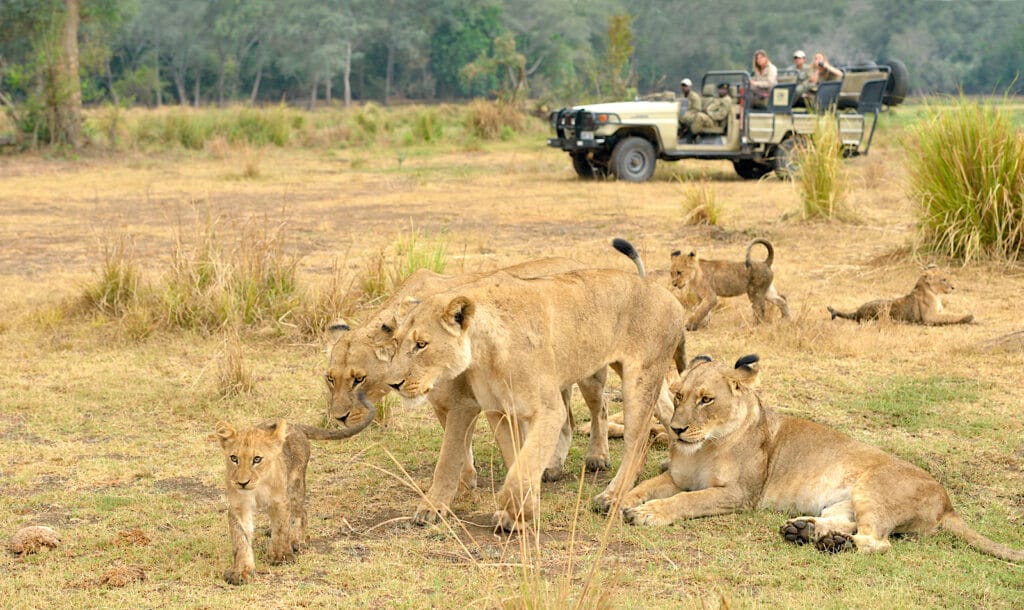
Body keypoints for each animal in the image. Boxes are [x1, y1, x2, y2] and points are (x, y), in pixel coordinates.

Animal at [211, 397, 376, 585]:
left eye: (257, 459)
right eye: (234, 458)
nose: (242, 482)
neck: (258, 487)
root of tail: (294, 425)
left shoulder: (280, 501)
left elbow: (281, 528)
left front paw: (279, 556)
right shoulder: (239, 506)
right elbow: (241, 539)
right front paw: (241, 571)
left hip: (295, 485)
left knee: (301, 513)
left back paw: (296, 541)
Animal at [327, 256, 610, 524]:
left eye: (359, 379)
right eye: (330, 379)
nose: (339, 418)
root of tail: (578, 263)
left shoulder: (464, 402)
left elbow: (448, 457)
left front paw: (432, 507)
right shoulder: (443, 404)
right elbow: (460, 449)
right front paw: (466, 483)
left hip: (590, 374)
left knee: (599, 408)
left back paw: (597, 457)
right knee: (567, 419)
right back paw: (552, 467)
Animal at [387, 240, 684, 532]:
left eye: (421, 344)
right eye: (396, 342)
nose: (394, 383)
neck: (483, 353)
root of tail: (664, 292)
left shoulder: (548, 410)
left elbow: (521, 469)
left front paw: (521, 511)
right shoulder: (499, 411)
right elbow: (516, 461)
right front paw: (518, 514)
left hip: (638, 379)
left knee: (637, 440)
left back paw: (611, 497)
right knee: (669, 411)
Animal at [622, 352, 1024, 560]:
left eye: (706, 399)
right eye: (678, 396)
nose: (676, 429)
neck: (704, 446)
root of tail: (947, 501)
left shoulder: (739, 495)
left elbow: (687, 501)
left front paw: (647, 514)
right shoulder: (676, 477)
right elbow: (644, 486)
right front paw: (619, 502)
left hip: (873, 489)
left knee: (877, 540)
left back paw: (831, 543)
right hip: (843, 502)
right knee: (845, 522)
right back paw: (803, 530)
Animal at [823, 266, 974, 323]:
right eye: (944, 279)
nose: (954, 287)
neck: (935, 294)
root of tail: (857, 312)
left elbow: (951, 313)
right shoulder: (930, 317)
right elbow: (951, 316)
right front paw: (969, 317)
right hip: (883, 309)